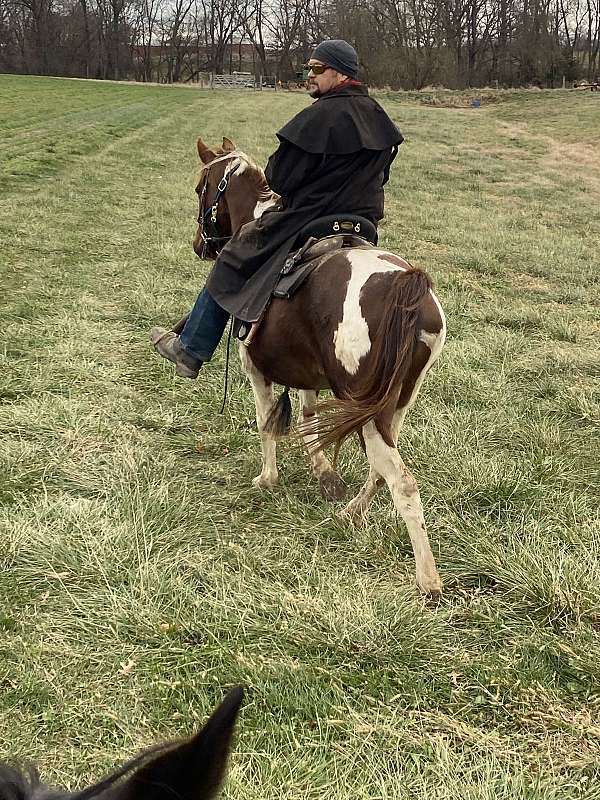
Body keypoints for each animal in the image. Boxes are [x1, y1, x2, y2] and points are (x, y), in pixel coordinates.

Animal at [192, 136, 446, 592]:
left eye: (201, 188)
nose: (199, 244)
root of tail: (407, 287)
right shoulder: (310, 378)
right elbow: (310, 422)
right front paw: (323, 472)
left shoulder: (256, 371)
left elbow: (266, 424)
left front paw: (268, 479)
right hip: (396, 405)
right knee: (380, 471)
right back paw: (349, 513)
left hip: (369, 410)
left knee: (400, 480)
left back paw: (427, 579)